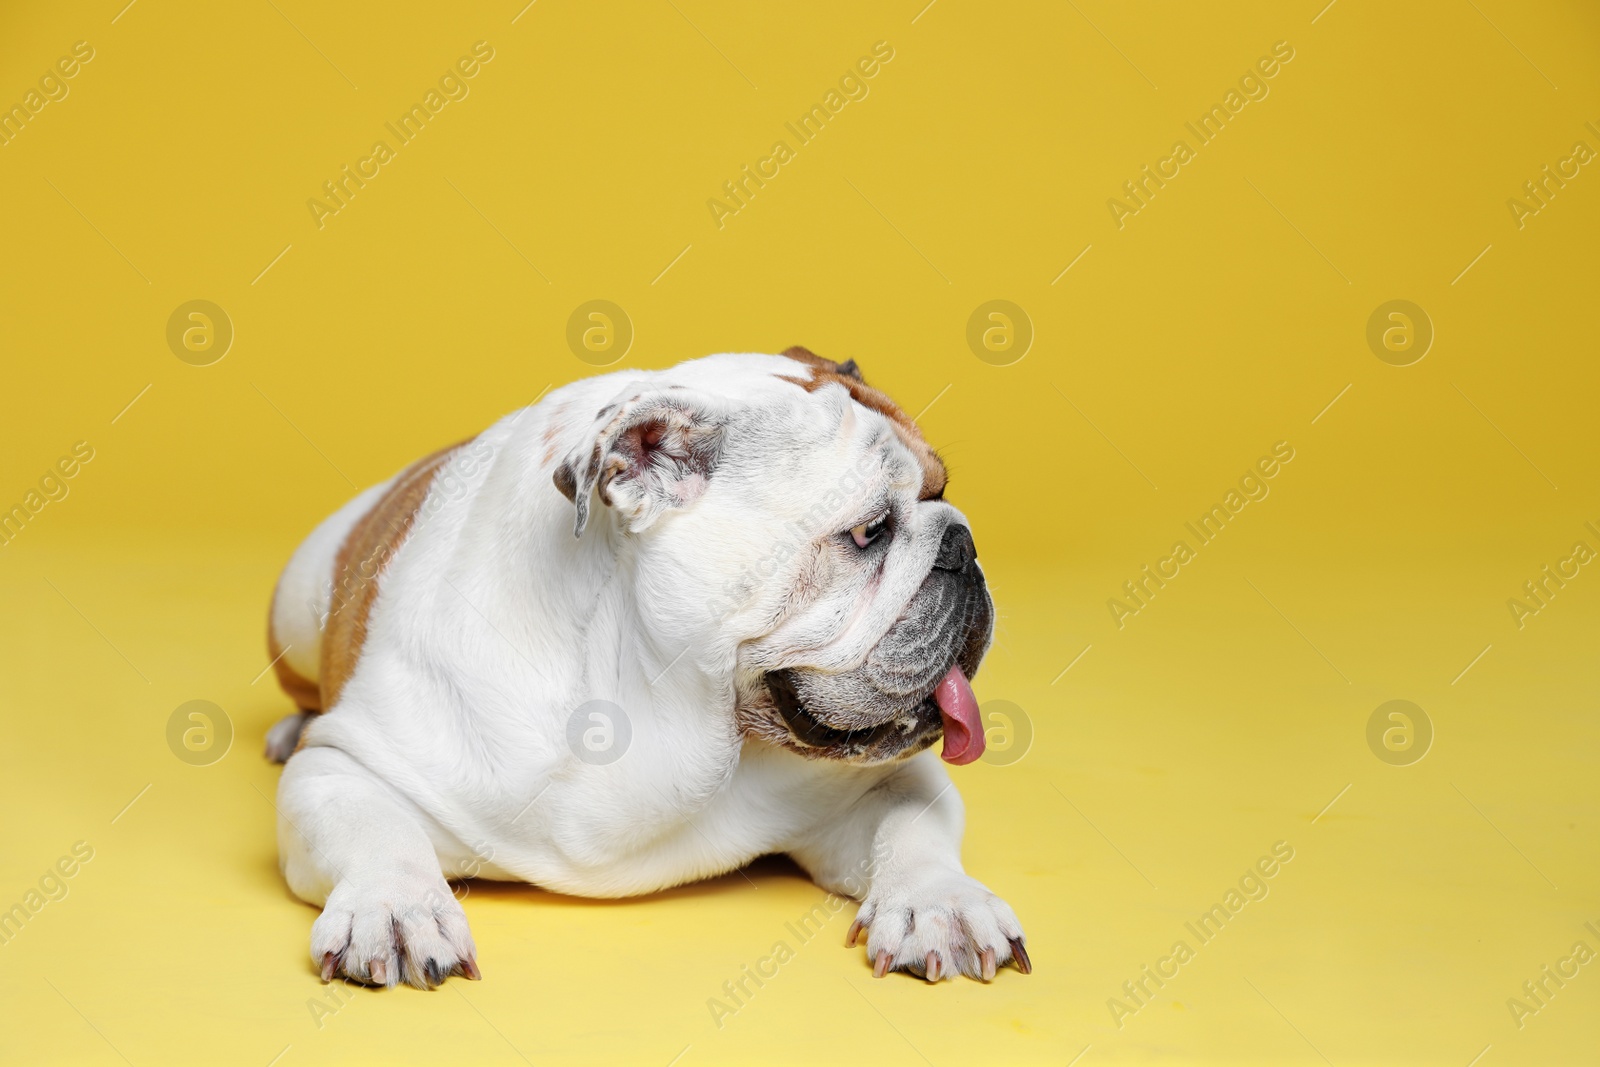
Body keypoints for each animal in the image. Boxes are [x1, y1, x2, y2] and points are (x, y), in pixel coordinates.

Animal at [268, 350, 1030, 991]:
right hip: (296, 606)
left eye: (943, 488)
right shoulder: (343, 764)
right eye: (868, 533)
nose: (961, 545)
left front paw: (943, 904)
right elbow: (378, 831)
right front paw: (396, 910)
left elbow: (913, 828)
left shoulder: (884, 782)